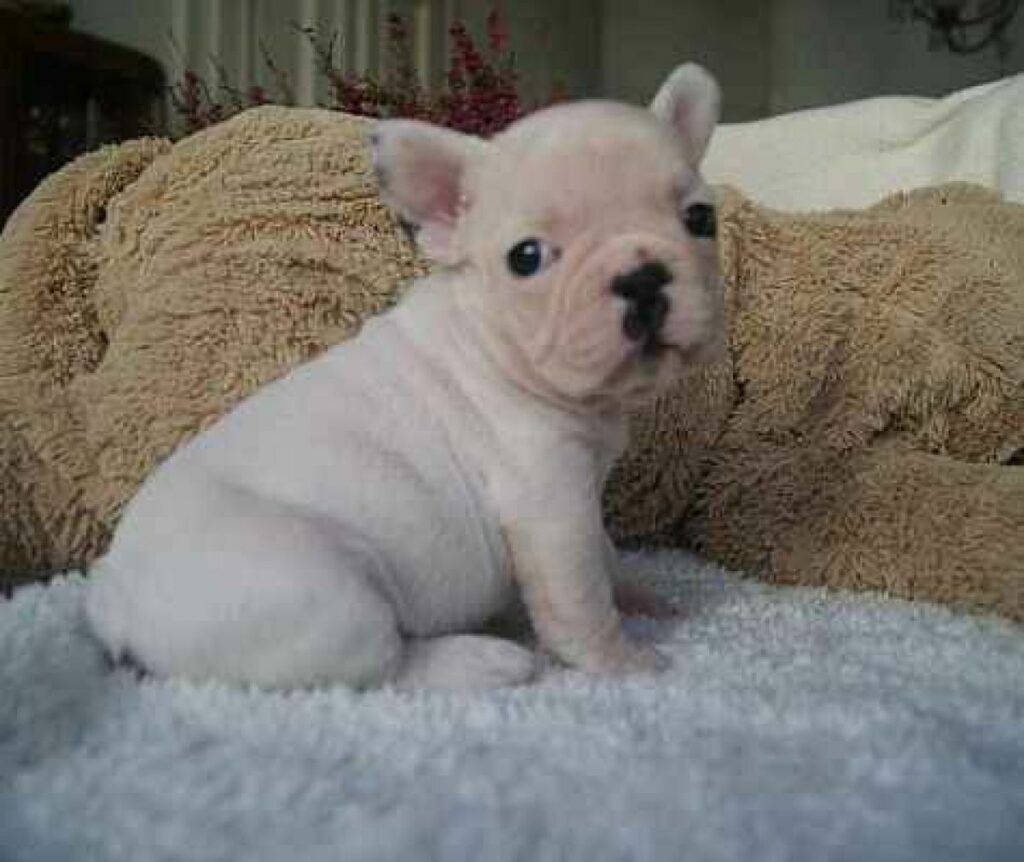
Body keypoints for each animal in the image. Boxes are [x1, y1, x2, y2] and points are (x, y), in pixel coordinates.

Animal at [86, 64, 725, 691]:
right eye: (526, 258)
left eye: (701, 218)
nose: (641, 278)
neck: (490, 341)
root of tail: (116, 600)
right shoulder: (551, 503)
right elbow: (581, 597)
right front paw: (623, 661)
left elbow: (607, 554)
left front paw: (640, 595)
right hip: (328, 597)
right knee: (385, 668)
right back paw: (483, 660)